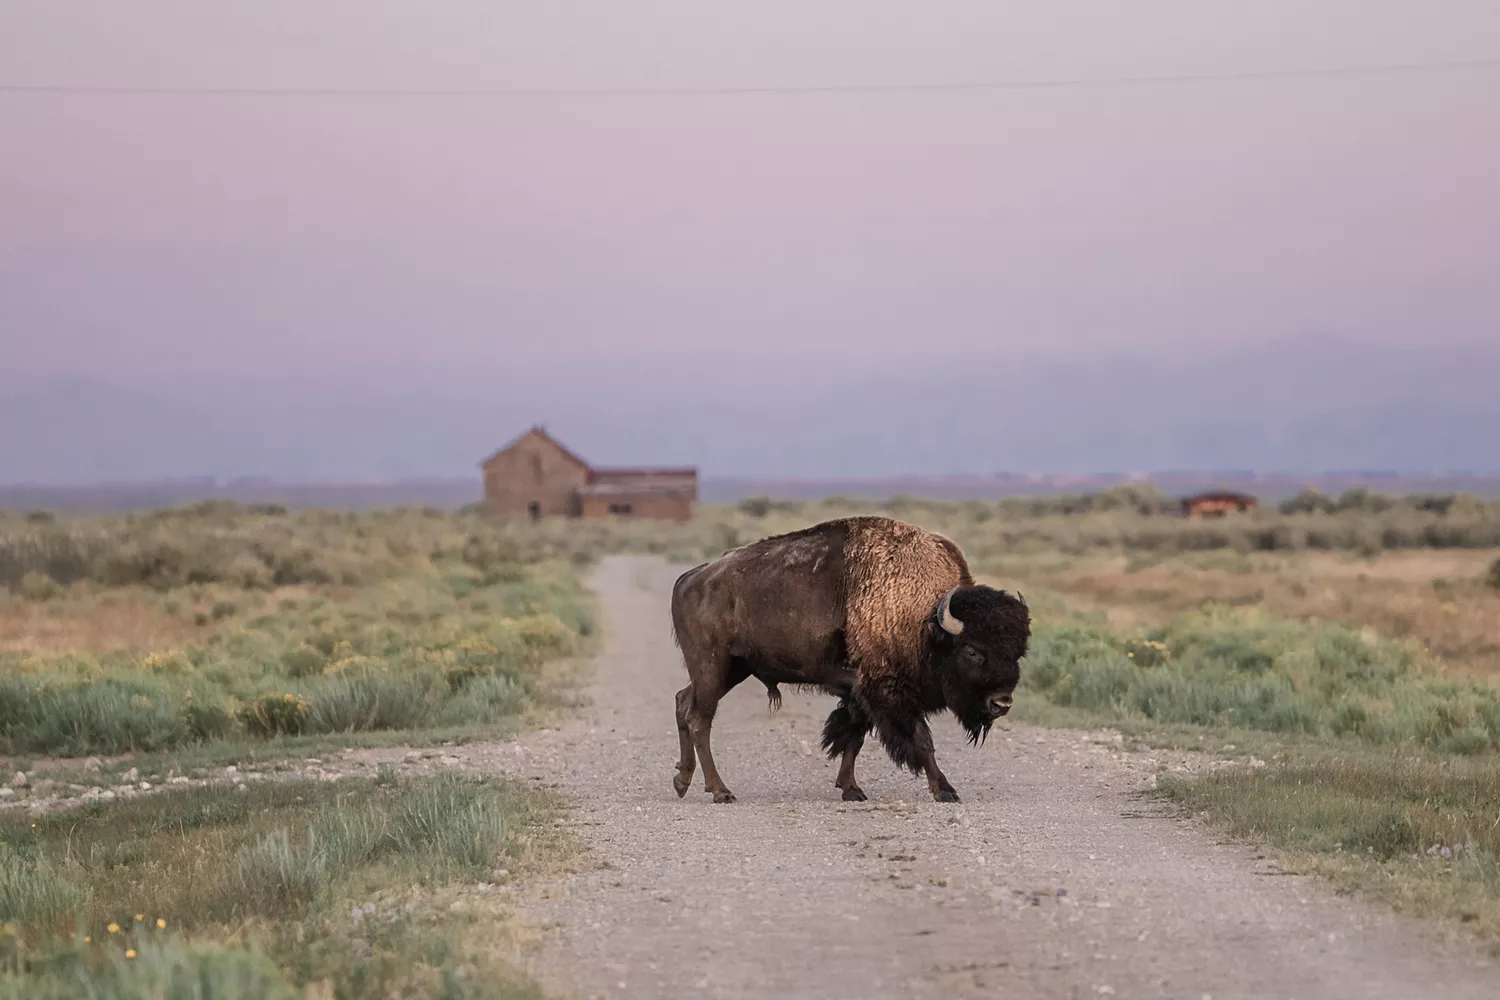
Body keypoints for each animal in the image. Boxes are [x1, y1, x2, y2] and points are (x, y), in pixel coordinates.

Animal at [672, 515, 1032, 803]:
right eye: (972, 650)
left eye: (1018, 652)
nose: (1001, 703)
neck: (922, 618)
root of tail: (690, 578)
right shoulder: (888, 691)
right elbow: (921, 739)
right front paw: (945, 790)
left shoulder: (861, 691)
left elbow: (854, 737)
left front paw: (852, 789)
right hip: (712, 667)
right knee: (699, 718)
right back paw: (720, 791)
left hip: (733, 670)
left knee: (683, 701)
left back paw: (682, 780)